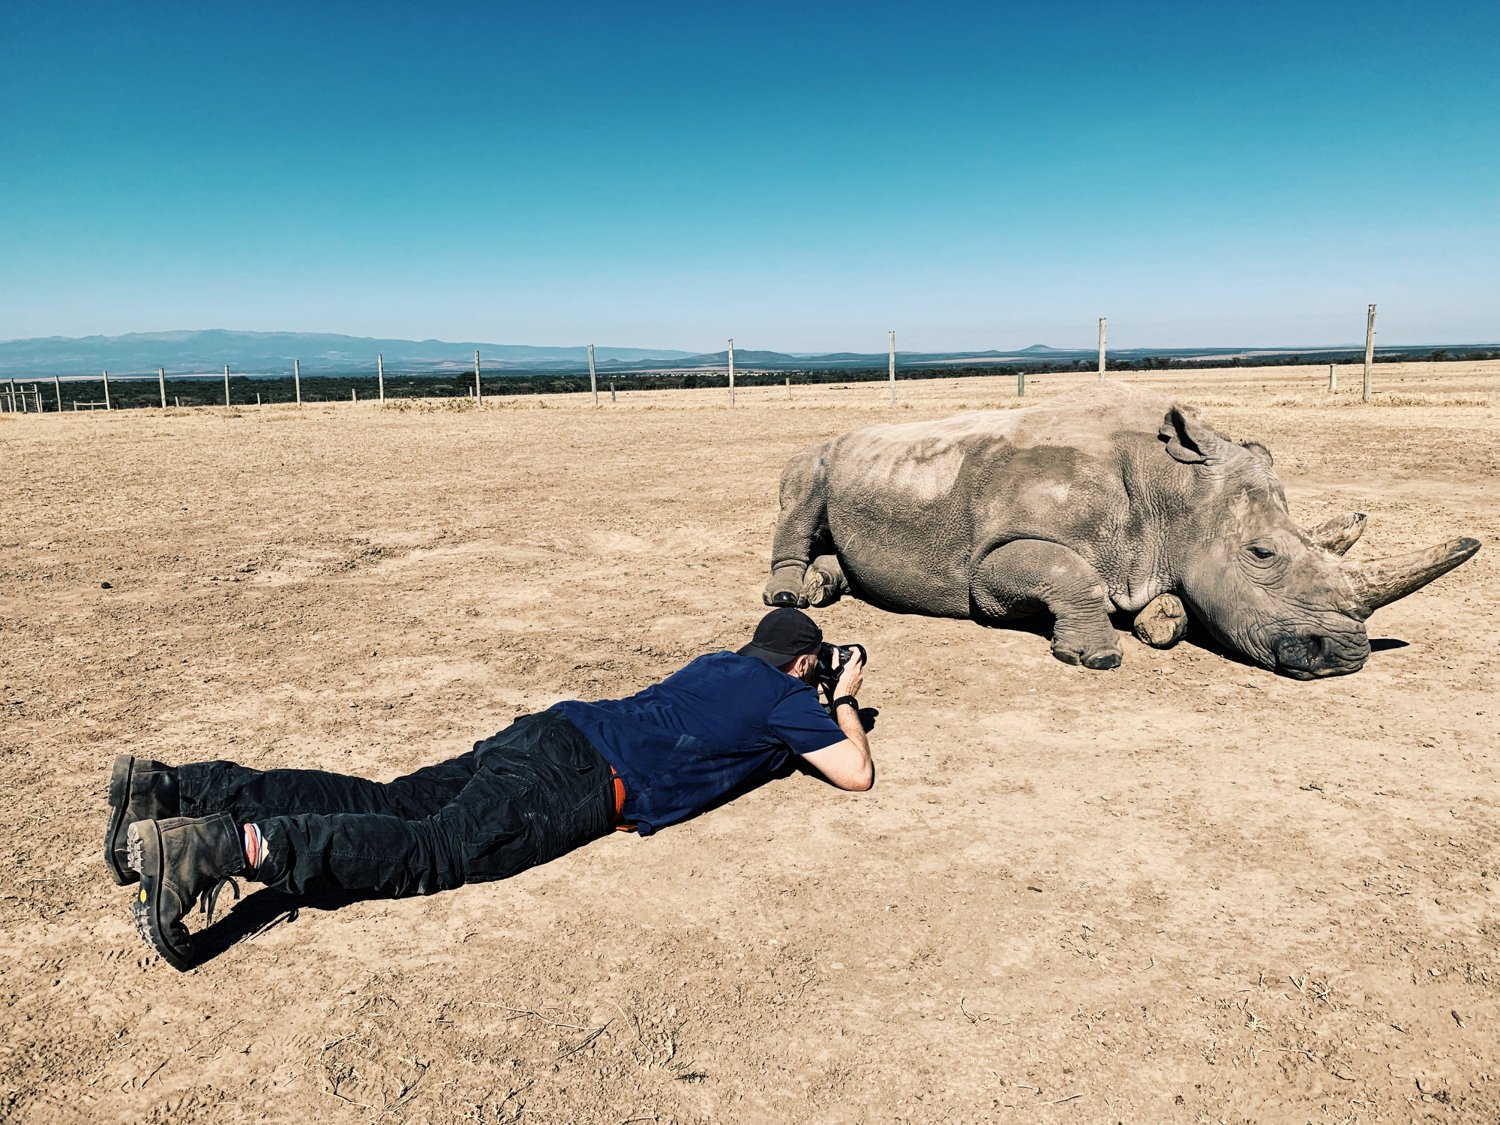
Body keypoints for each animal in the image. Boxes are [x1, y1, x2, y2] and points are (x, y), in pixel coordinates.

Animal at [762, 383, 1479, 678]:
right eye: (1261, 553)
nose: (1346, 657)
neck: (1174, 490)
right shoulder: (990, 562)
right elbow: (1067, 572)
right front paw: (1098, 654)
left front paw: (1159, 619)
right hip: (823, 453)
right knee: (803, 479)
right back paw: (790, 597)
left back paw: (826, 587)